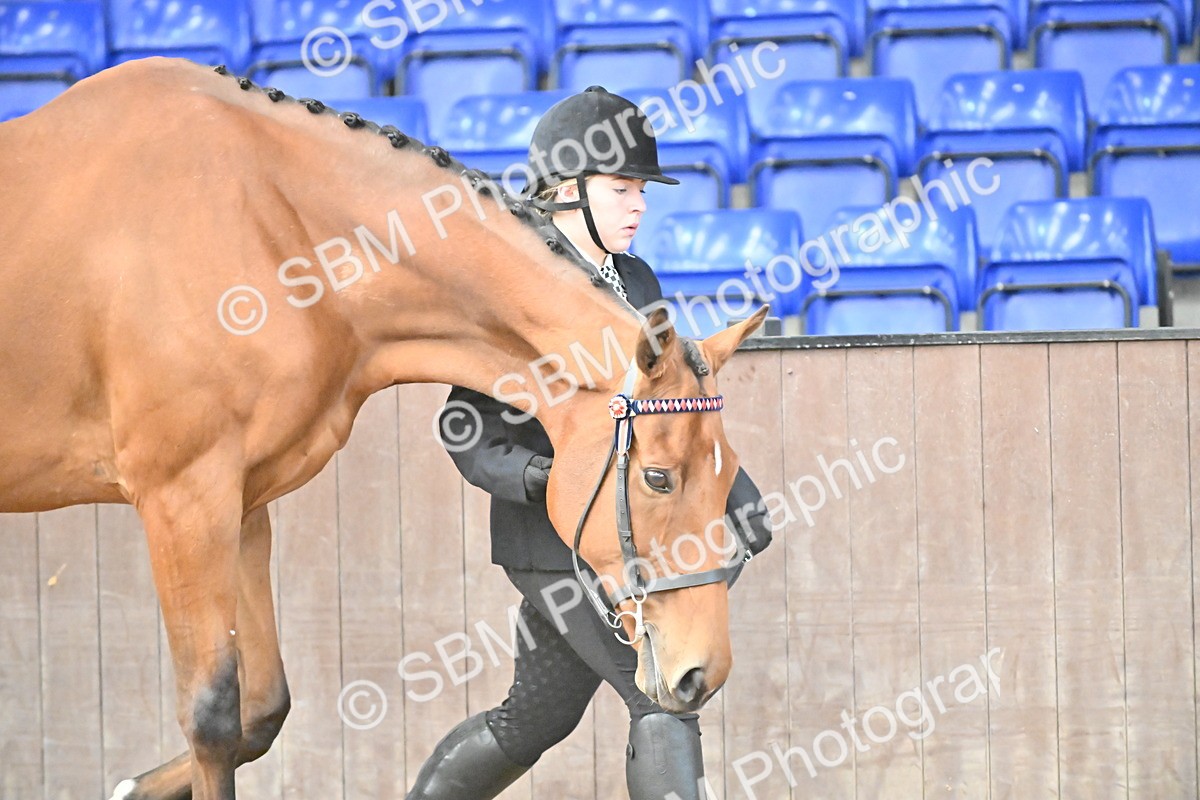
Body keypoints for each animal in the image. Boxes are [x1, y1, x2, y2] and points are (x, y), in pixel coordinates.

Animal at [0, 57, 767, 800]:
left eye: (727, 474)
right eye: (658, 478)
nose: (702, 673)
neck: (266, 226)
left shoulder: (241, 503)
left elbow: (262, 711)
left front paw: (132, 784)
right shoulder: (182, 500)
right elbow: (213, 719)